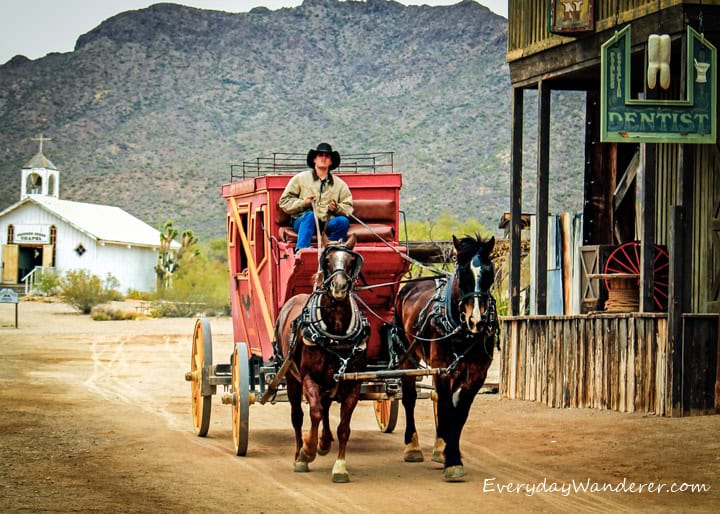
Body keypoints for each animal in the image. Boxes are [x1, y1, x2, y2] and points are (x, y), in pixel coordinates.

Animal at [272, 232, 368, 480]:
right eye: (327, 260)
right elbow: (313, 412)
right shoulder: (309, 378)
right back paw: (300, 454)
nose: (339, 287)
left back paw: (324, 442)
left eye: (351, 261)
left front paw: (340, 466)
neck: (335, 333)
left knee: (324, 407)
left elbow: (343, 426)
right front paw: (308, 450)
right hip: (291, 377)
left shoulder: (352, 383)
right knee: (298, 416)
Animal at [390, 232, 498, 480]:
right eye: (463, 272)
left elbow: (458, 414)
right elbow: (448, 411)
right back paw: (412, 447)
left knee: (439, 400)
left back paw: (440, 447)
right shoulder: (443, 371)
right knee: (410, 398)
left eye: (489, 273)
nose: (477, 321)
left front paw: (449, 454)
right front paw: (452, 460)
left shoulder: (476, 376)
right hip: (406, 357)